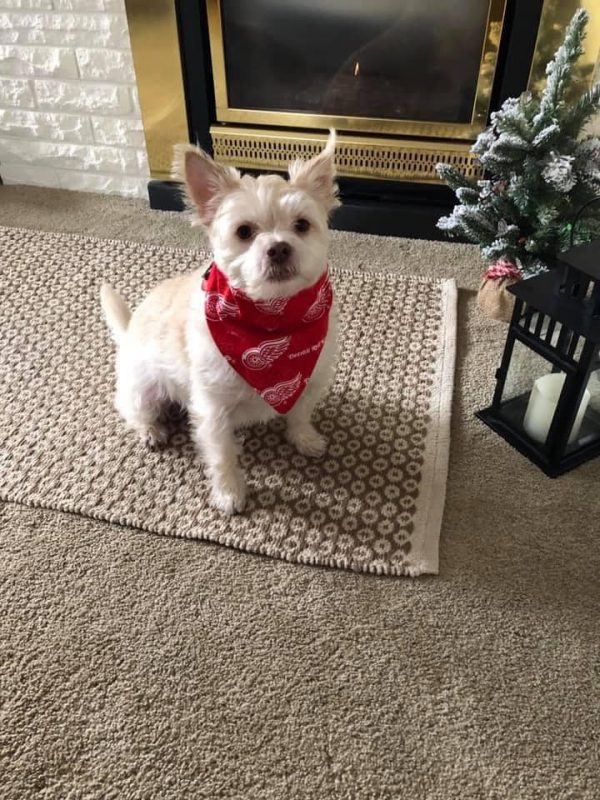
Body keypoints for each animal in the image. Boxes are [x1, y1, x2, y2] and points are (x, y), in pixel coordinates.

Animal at [101, 128, 340, 516]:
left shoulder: (310, 381)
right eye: (244, 232)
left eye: (302, 225)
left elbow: (300, 414)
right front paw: (229, 493)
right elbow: (222, 454)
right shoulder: (212, 409)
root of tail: (128, 332)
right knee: (132, 409)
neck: (272, 317)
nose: (278, 247)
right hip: (142, 389)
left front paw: (304, 438)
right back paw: (150, 430)